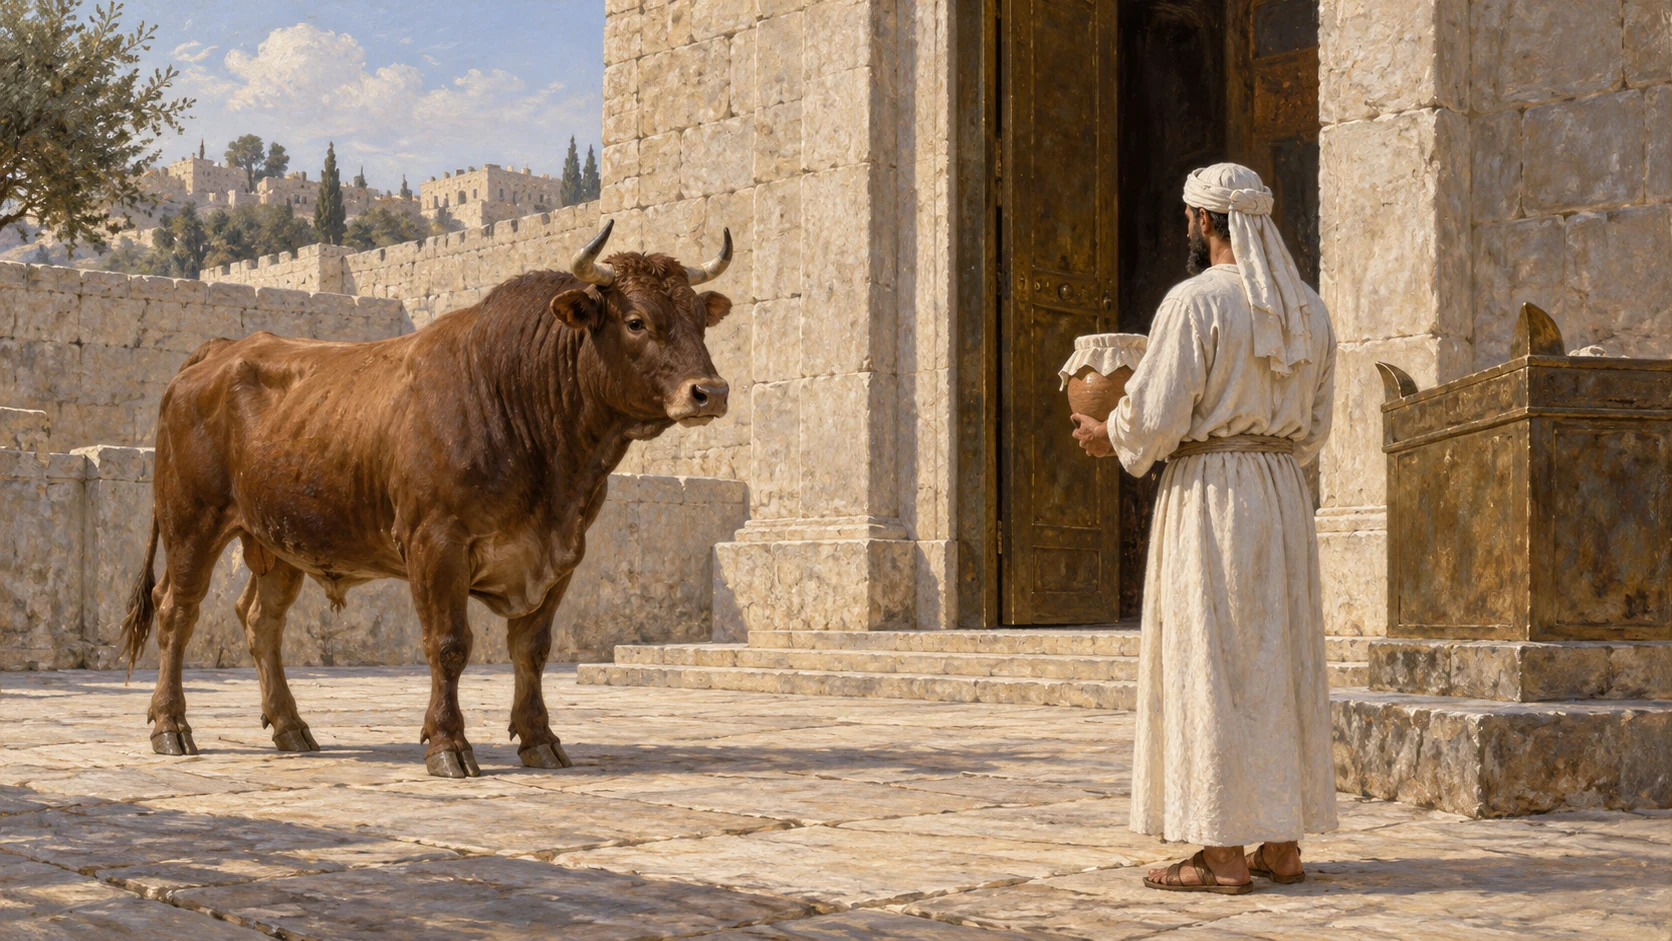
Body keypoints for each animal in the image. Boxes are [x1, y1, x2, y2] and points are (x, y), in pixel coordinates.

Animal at [116, 221, 732, 778]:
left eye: (699, 320)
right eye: (636, 321)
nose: (711, 391)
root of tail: (221, 350)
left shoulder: (563, 552)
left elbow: (532, 647)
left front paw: (540, 739)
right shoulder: (436, 542)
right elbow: (449, 644)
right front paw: (447, 743)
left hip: (279, 540)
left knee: (260, 620)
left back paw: (291, 727)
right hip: (192, 523)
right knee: (176, 611)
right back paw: (171, 726)